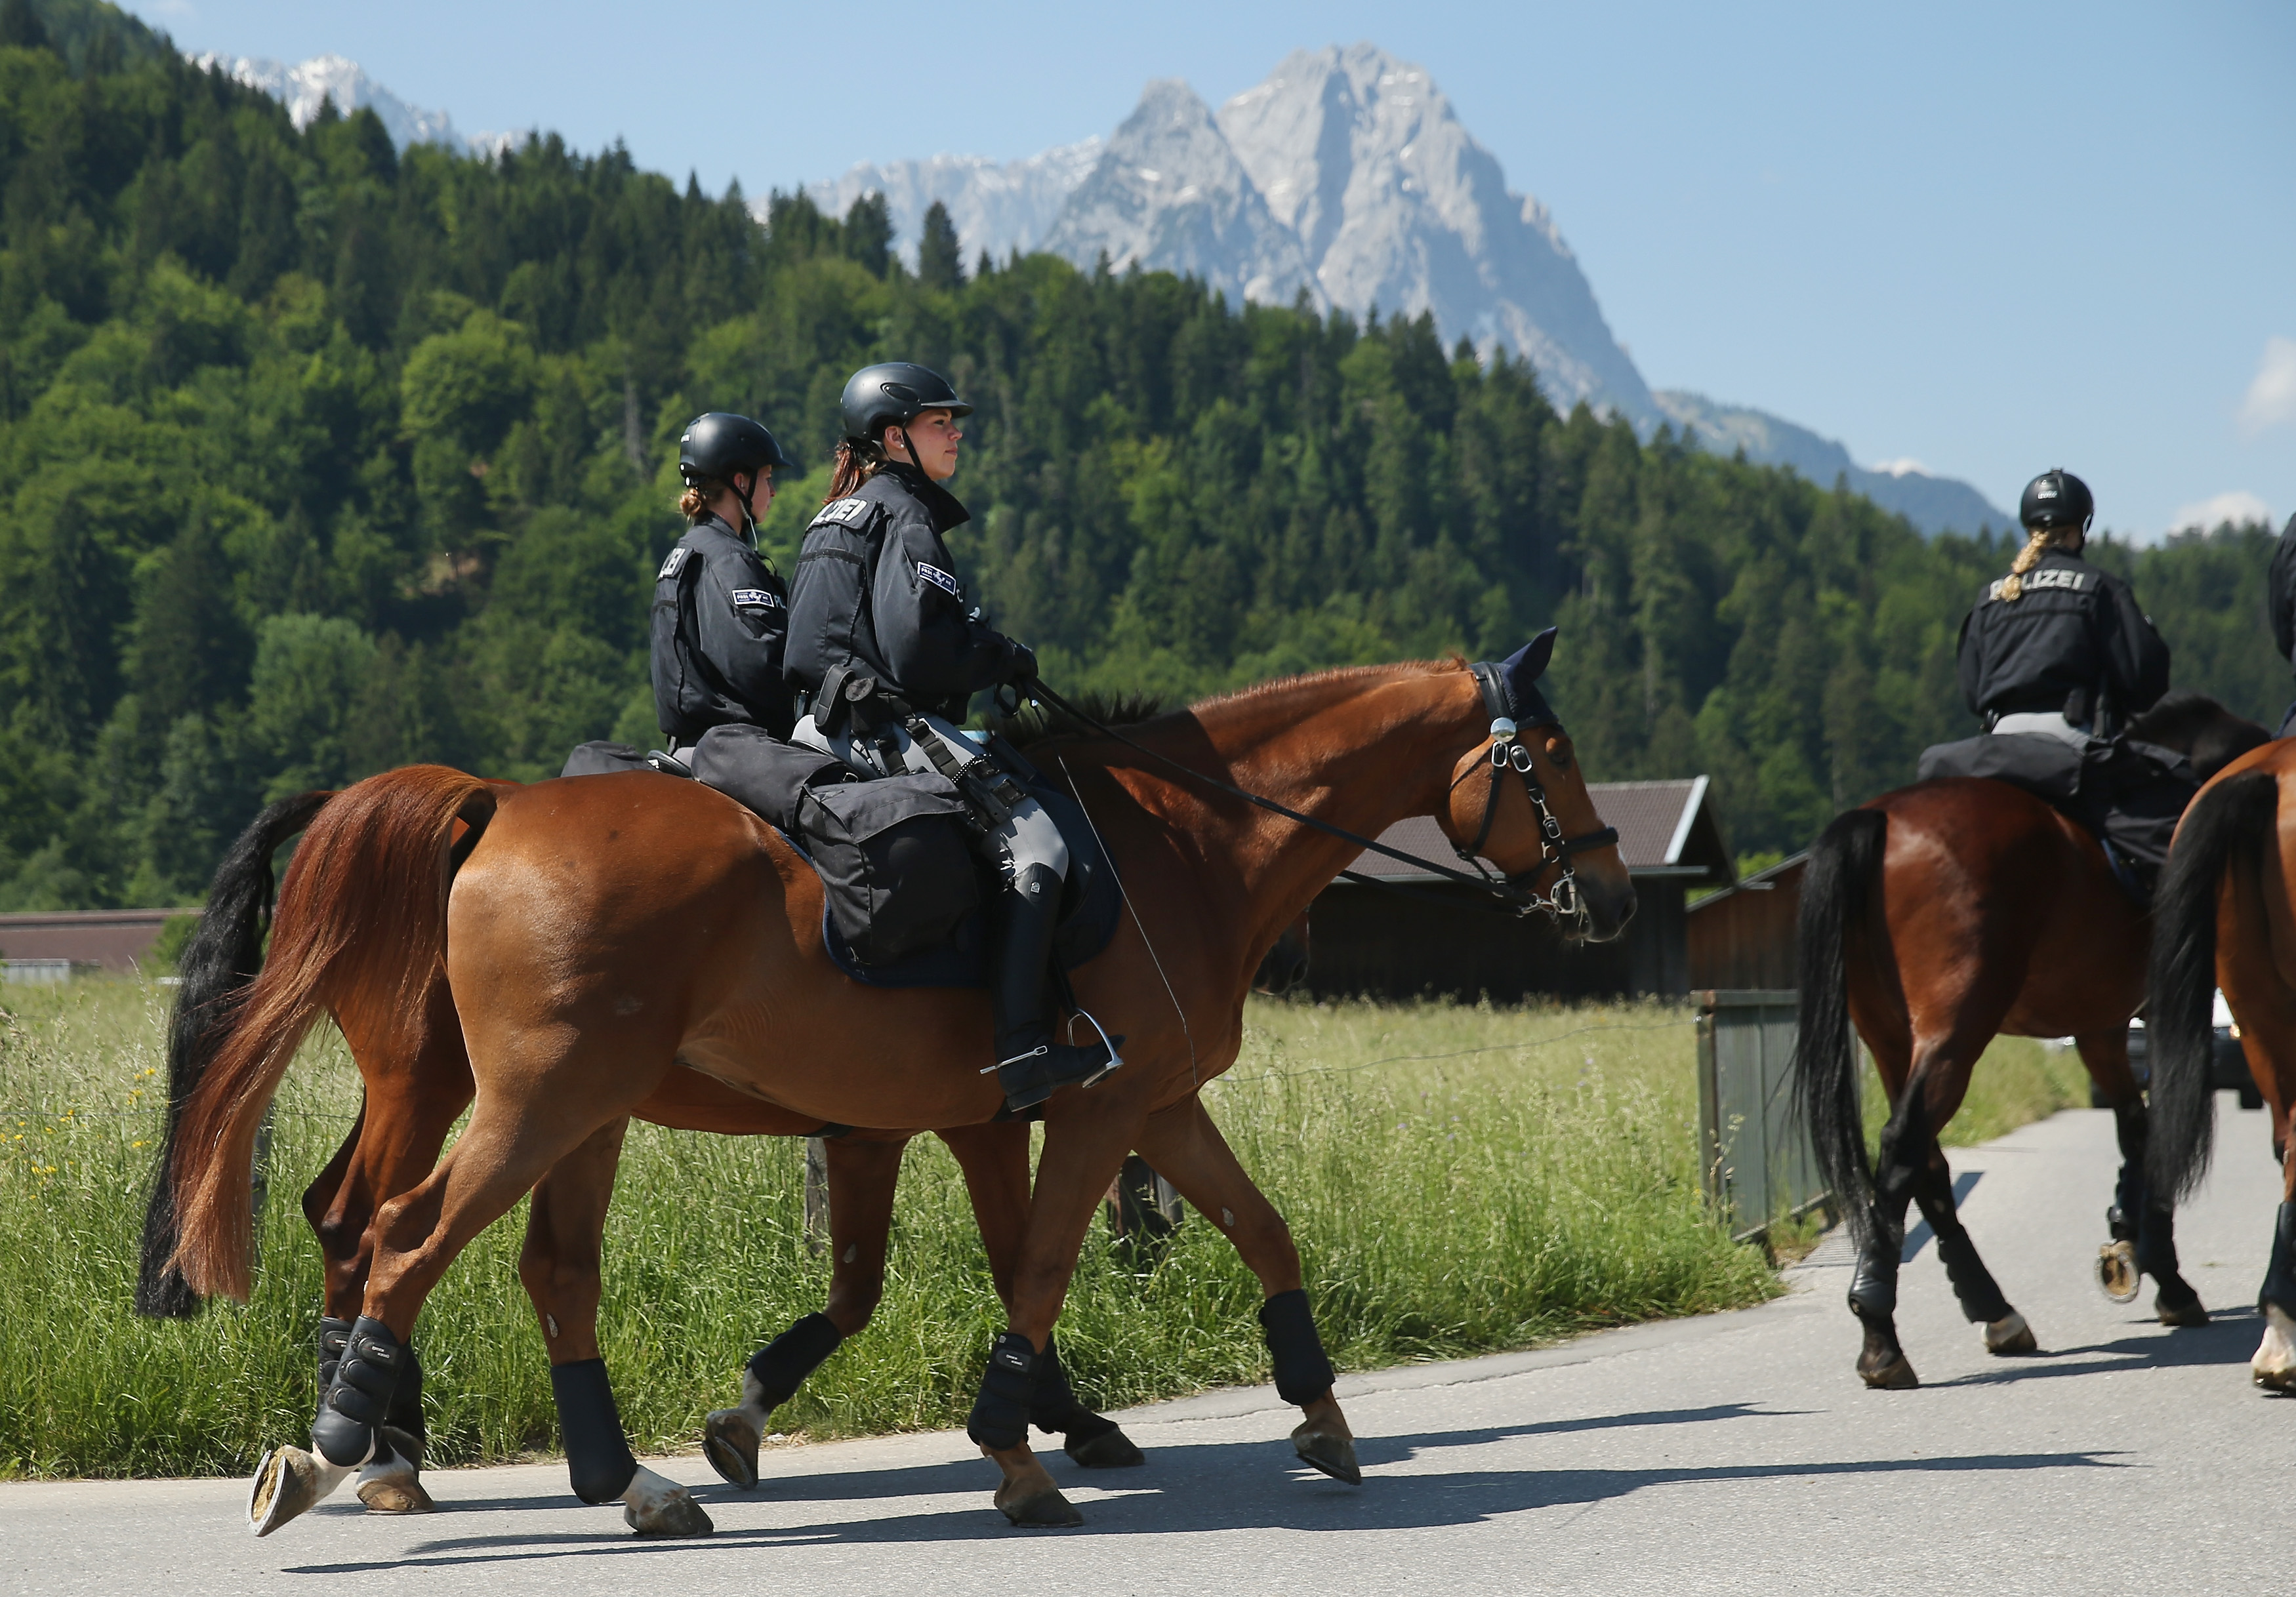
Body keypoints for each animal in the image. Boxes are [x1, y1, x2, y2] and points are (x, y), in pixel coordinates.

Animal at [157, 647, 1635, 1533]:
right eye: (1554, 753)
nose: (1610, 892)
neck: (1184, 842)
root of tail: (491, 809)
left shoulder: (1116, 1107)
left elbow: (1256, 1232)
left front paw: (1315, 1412)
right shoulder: (1088, 1110)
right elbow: (1036, 1264)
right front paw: (1020, 1444)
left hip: (571, 1110)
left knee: (515, 1263)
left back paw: (606, 1478)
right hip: (525, 1102)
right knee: (396, 1235)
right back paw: (352, 1444)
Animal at [1791, 697, 2259, 1386]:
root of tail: (1879, 817)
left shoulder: (2100, 1027)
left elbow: (2135, 1128)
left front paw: (2134, 1241)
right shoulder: (2147, 1017)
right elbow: (2154, 1134)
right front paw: (2166, 1274)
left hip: (1889, 1037)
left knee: (1926, 1162)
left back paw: (1992, 1310)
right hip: (1955, 1029)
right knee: (1905, 1143)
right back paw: (1881, 1330)